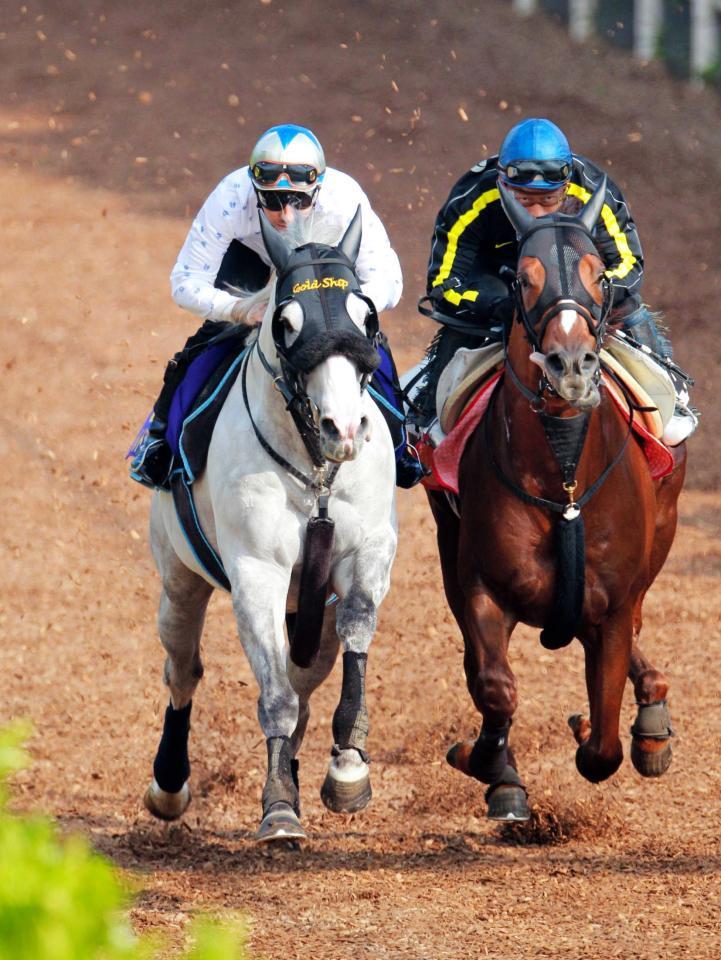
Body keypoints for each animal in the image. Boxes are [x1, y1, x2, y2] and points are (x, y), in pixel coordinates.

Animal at [143, 210, 396, 840]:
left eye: (367, 315)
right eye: (285, 324)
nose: (343, 427)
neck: (315, 472)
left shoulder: (368, 549)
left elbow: (357, 626)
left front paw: (348, 765)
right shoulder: (257, 573)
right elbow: (274, 696)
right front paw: (280, 808)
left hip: (308, 617)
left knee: (305, 680)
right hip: (179, 582)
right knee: (183, 671)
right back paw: (168, 785)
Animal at [428, 178, 688, 816]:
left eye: (598, 274)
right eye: (523, 278)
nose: (571, 365)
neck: (563, 477)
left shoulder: (613, 605)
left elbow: (603, 750)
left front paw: (606, 725)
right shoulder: (482, 586)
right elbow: (494, 688)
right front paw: (492, 767)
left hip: (664, 527)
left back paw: (650, 717)